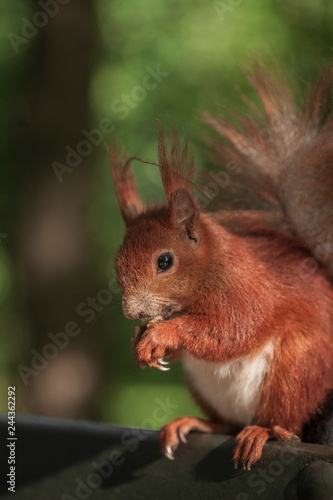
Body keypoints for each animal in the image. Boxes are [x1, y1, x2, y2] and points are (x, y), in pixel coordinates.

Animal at [108, 62, 332, 468]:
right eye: (117, 262)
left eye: (164, 261)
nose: (132, 312)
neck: (210, 271)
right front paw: (141, 343)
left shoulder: (246, 291)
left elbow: (229, 332)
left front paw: (161, 336)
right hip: (204, 386)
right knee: (227, 424)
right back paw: (192, 424)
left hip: (297, 366)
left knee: (284, 422)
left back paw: (262, 432)